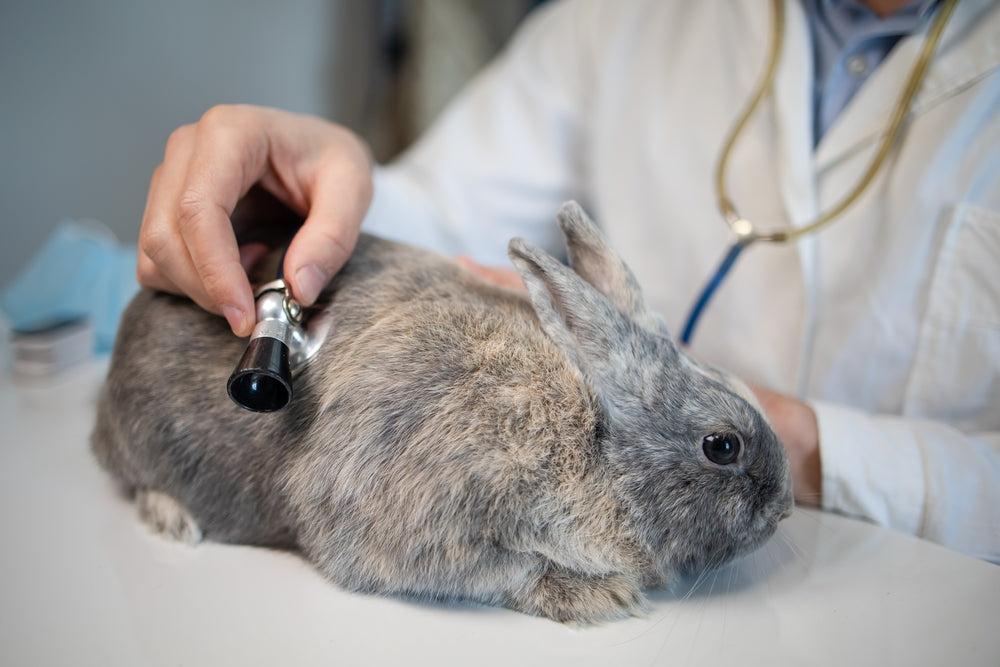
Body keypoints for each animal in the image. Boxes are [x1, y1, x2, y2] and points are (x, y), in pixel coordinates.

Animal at [91, 201, 793, 624]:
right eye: (723, 445)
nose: (786, 507)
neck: (590, 437)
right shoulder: (416, 523)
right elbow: (513, 571)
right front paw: (599, 596)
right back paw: (173, 519)